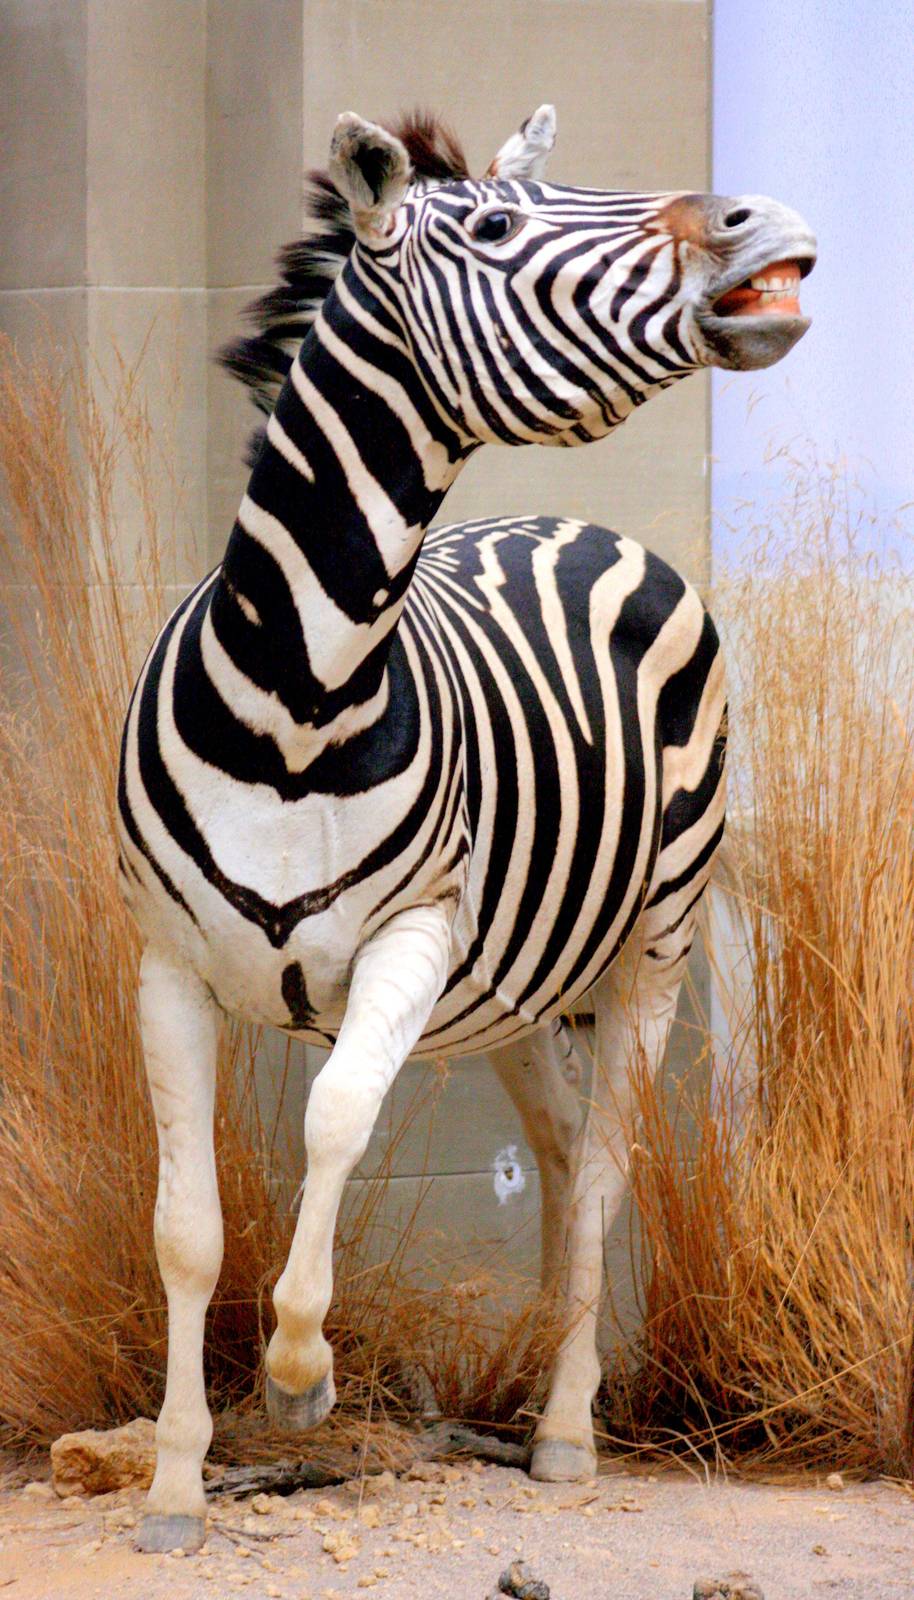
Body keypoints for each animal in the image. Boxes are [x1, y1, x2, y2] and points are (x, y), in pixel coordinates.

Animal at [117, 105, 815, 1551]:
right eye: (493, 226)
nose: (764, 226)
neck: (298, 695)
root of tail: (576, 522)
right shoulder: (166, 964)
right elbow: (184, 1229)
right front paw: (172, 1487)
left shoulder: (413, 935)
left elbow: (334, 1120)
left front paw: (301, 1375)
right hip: (516, 989)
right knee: (555, 1154)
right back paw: (546, 1366)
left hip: (653, 944)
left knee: (602, 1164)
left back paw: (563, 1431)